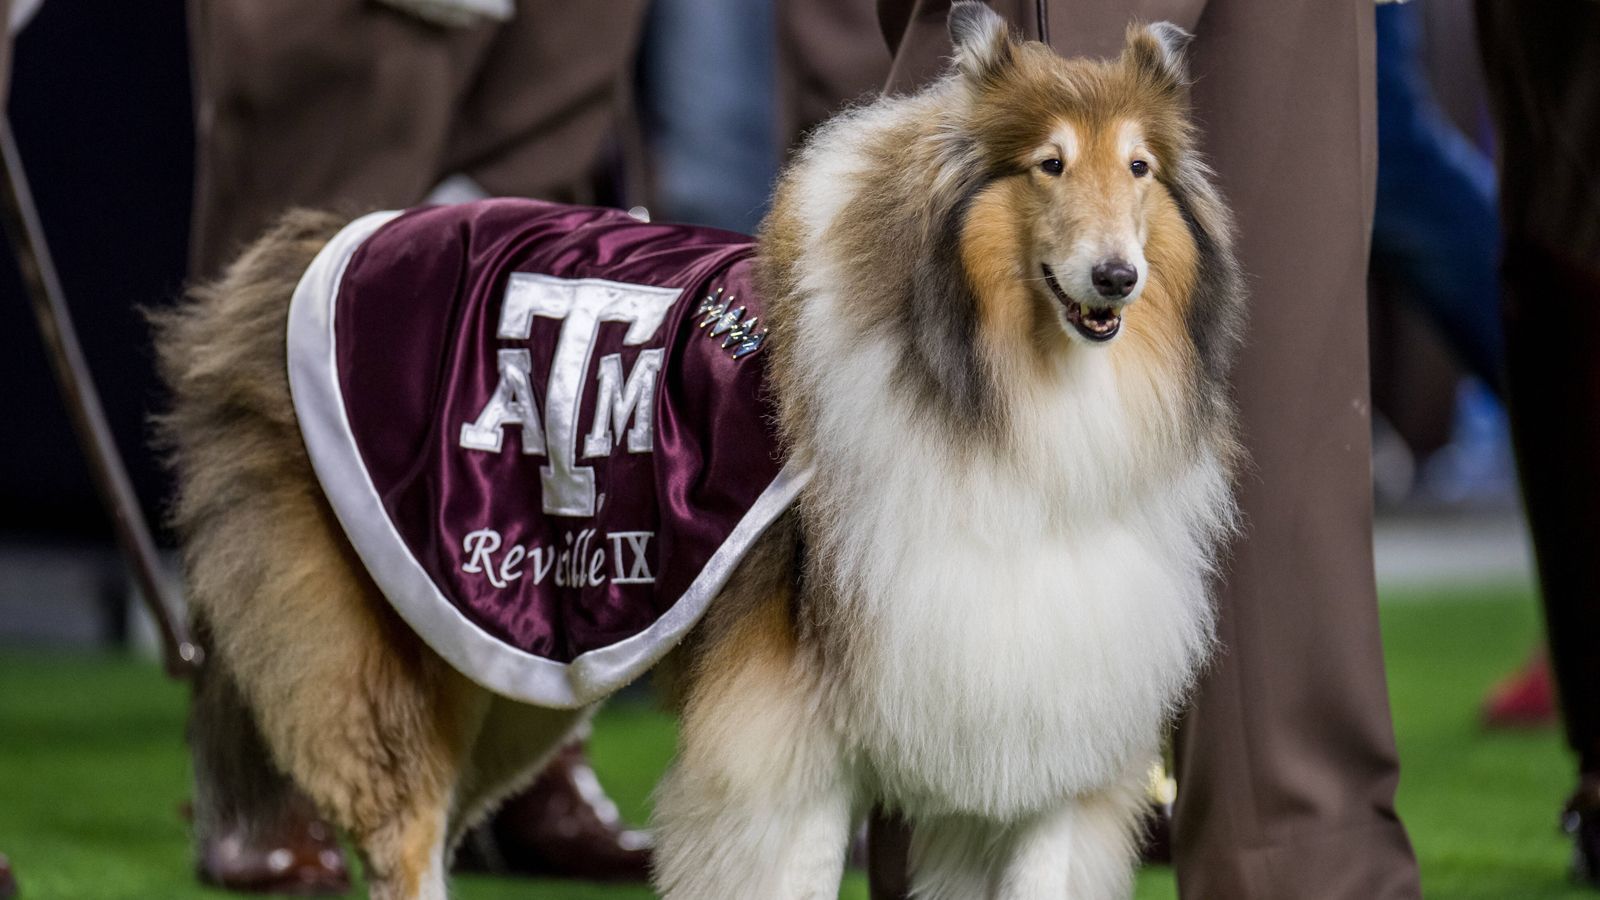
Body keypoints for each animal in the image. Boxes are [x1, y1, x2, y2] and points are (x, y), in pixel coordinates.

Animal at [156, 3, 1241, 890]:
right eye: (1048, 164)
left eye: (1139, 169)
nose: (1116, 278)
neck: (1007, 399)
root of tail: (318, 240)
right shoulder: (782, 737)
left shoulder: (1051, 715)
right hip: (383, 632)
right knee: (403, 832)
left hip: (514, 646)